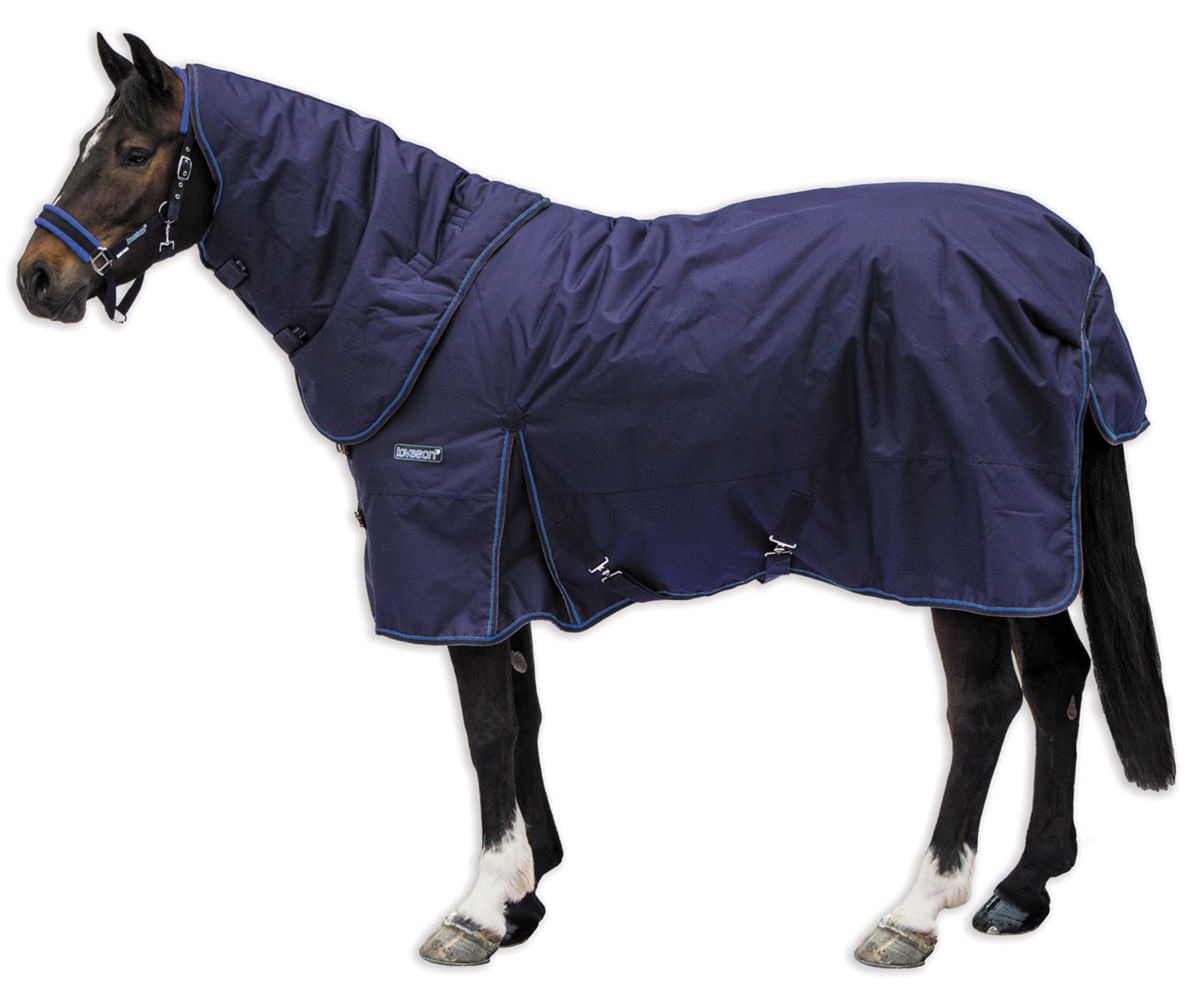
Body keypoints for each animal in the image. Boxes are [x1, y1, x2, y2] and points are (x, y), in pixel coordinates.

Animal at [16, 33, 1174, 969]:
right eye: (90, 141)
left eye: (131, 153)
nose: (35, 280)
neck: (416, 275)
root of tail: (1059, 250)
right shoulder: (503, 554)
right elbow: (522, 715)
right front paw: (529, 892)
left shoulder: (454, 544)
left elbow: (486, 726)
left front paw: (480, 909)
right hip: (1021, 552)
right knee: (1060, 677)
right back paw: (1026, 889)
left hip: (962, 539)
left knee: (987, 704)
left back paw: (918, 912)